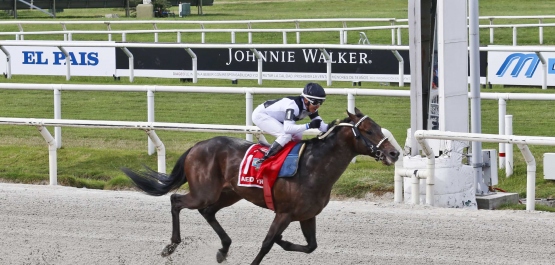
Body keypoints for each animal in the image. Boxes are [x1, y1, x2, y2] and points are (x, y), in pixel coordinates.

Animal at [122, 106, 400, 262]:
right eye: (368, 130)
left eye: (378, 127)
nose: (395, 153)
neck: (314, 167)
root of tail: (197, 145)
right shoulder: (284, 213)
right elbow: (266, 244)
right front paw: (276, 242)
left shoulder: (307, 215)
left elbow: (311, 246)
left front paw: (284, 242)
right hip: (205, 191)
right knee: (176, 201)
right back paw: (171, 246)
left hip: (229, 193)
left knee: (207, 211)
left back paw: (224, 249)